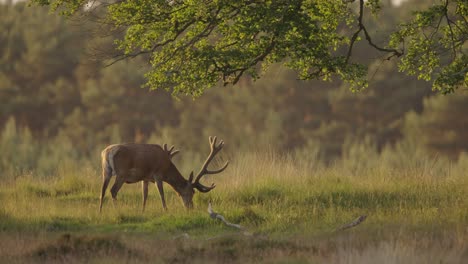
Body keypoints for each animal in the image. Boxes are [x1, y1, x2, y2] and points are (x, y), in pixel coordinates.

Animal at [98, 136, 229, 212]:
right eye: (192, 192)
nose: (191, 207)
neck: (166, 168)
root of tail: (107, 152)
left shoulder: (145, 177)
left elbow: (144, 195)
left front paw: (142, 211)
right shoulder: (158, 174)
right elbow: (161, 193)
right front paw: (166, 210)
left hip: (105, 171)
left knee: (102, 191)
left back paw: (100, 211)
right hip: (122, 173)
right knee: (113, 190)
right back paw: (117, 210)